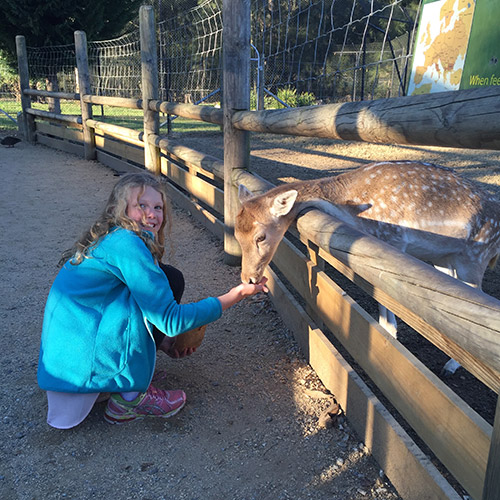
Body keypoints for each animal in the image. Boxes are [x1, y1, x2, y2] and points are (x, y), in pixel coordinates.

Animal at [235, 160, 500, 376]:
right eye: (237, 234)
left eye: (261, 237)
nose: (248, 278)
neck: (353, 209)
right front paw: (387, 332)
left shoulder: (394, 239)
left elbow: (387, 293)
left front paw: (389, 335)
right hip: (446, 257)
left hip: (475, 255)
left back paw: (451, 366)